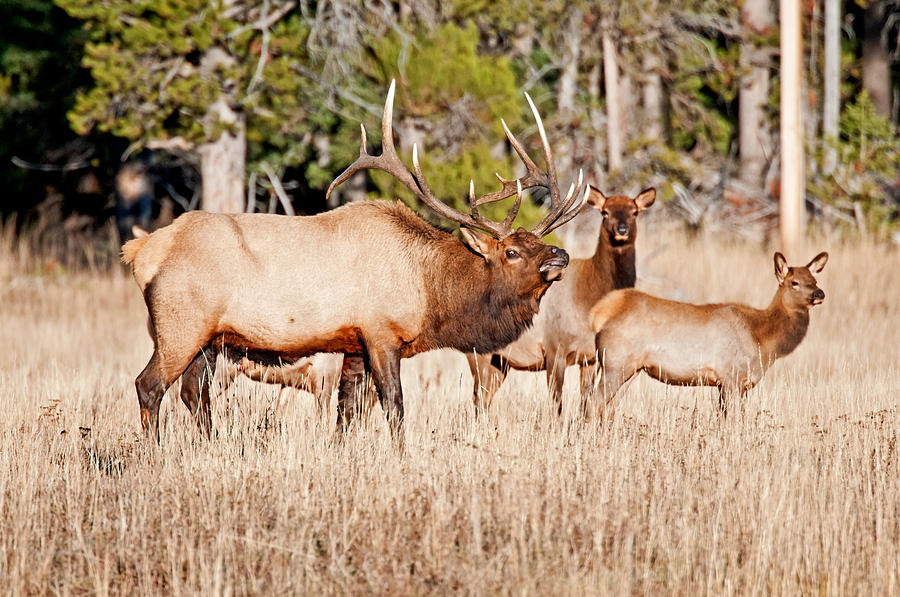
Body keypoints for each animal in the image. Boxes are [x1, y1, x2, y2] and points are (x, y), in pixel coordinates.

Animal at [123, 80, 588, 442]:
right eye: (511, 251)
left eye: (538, 241)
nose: (561, 254)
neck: (430, 292)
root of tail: (142, 252)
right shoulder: (381, 333)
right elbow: (394, 406)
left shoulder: (353, 344)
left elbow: (347, 413)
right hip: (180, 325)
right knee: (149, 385)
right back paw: (155, 455)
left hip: (209, 338)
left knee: (192, 392)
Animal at [464, 185, 652, 414]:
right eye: (605, 212)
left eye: (635, 212)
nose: (622, 230)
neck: (589, 300)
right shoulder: (554, 349)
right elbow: (557, 405)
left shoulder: (590, 358)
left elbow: (585, 402)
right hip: (478, 355)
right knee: (478, 398)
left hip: (500, 362)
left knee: (483, 399)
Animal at [584, 251, 828, 420]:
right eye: (794, 282)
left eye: (815, 280)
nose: (819, 293)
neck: (762, 340)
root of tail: (600, 315)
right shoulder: (731, 376)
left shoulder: (730, 384)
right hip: (616, 363)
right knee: (593, 402)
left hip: (631, 369)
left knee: (608, 406)